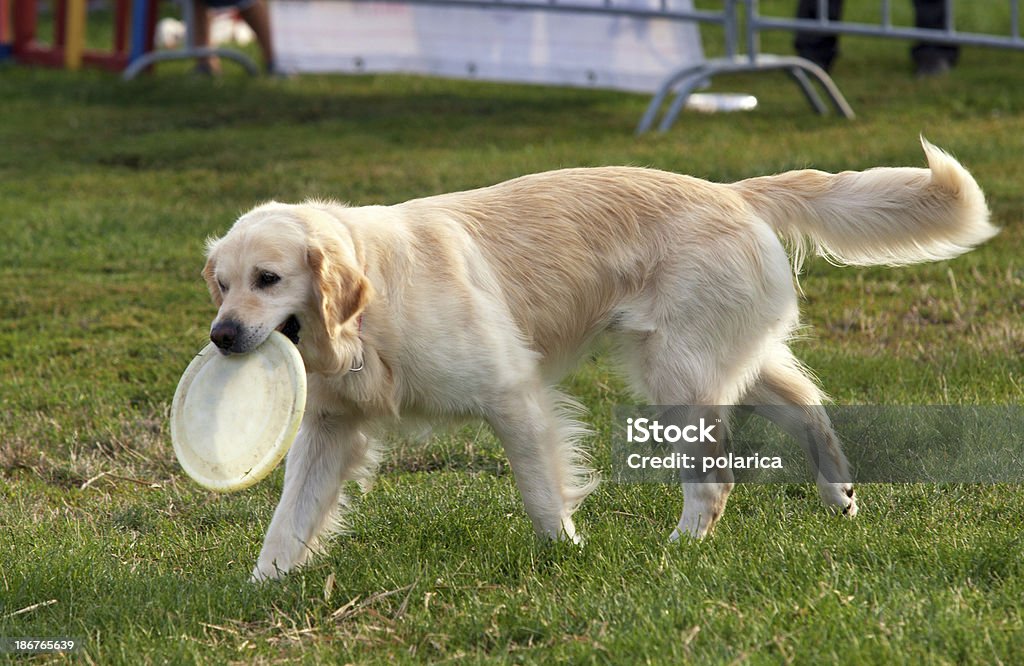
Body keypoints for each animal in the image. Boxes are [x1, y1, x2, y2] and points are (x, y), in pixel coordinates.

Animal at [203, 138, 995, 573]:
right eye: (220, 284)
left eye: (268, 279)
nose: (221, 336)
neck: (369, 308)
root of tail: (733, 191)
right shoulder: (330, 430)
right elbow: (289, 519)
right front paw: (263, 584)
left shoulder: (513, 394)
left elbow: (542, 494)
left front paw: (565, 556)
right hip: (721, 362)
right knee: (810, 408)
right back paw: (840, 495)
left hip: (675, 377)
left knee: (715, 480)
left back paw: (682, 546)